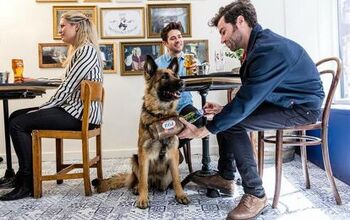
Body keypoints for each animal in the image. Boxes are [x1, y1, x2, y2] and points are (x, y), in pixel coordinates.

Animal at [90, 54, 189, 208]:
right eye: (164, 77)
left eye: (175, 75)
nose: (182, 82)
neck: (160, 115)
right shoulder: (143, 154)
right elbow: (143, 180)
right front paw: (143, 198)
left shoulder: (173, 153)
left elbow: (177, 179)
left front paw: (180, 194)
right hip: (134, 159)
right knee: (140, 180)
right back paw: (137, 188)